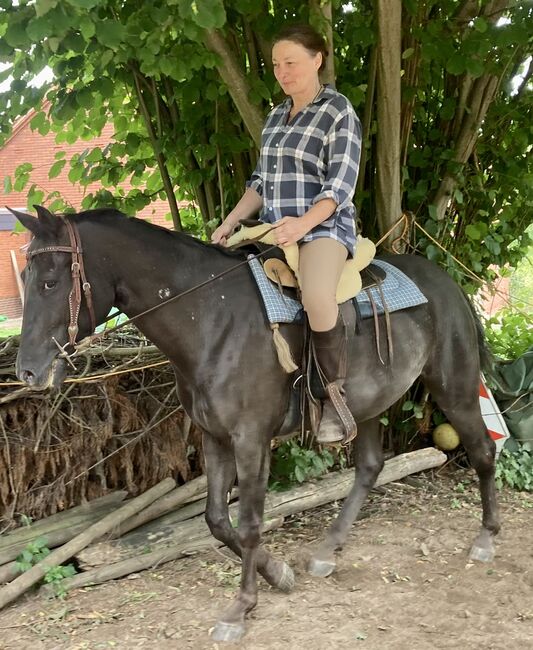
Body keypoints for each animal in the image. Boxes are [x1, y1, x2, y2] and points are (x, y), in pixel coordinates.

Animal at [11, 206, 498, 636]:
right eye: (27, 279)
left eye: (51, 282)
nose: (27, 371)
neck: (209, 317)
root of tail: (447, 283)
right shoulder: (213, 437)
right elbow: (216, 520)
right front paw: (278, 573)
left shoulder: (250, 440)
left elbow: (247, 524)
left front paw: (241, 607)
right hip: (369, 404)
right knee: (370, 467)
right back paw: (328, 549)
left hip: (454, 386)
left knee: (483, 450)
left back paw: (486, 537)